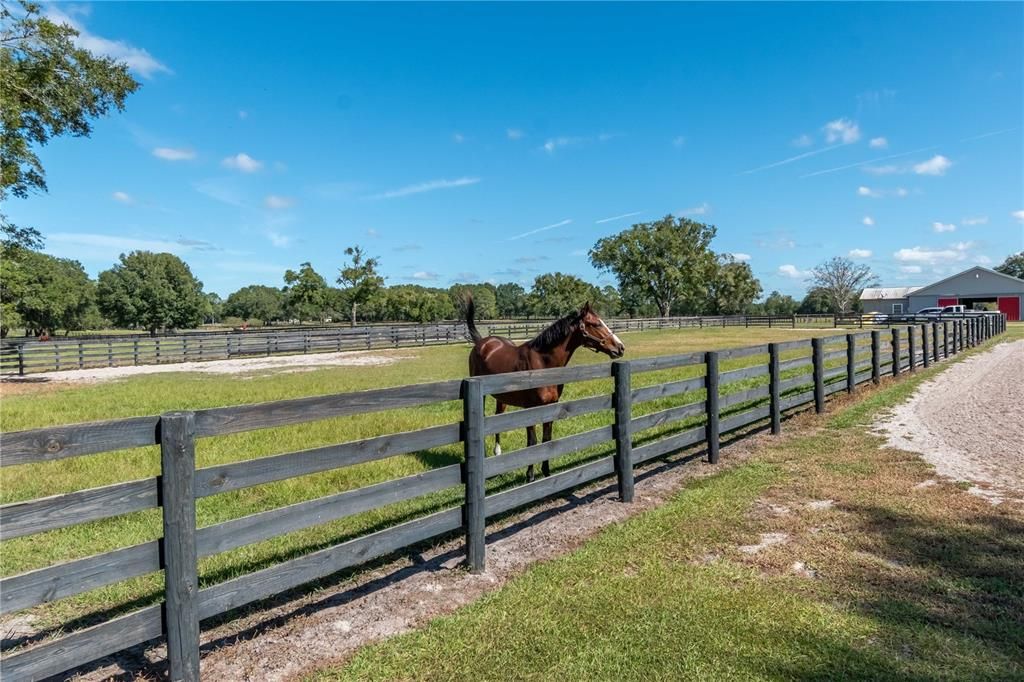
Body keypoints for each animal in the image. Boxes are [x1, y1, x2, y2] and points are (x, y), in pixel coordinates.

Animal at [466, 294, 622, 481]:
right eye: (596, 324)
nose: (620, 347)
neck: (542, 364)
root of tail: (482, 342)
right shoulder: (530, 409)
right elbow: (532, 442)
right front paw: (530, 476)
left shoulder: (550, 406)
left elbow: (546, 439)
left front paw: (546, 473)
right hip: (483, 396)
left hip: (501, 398)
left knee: (498, 419)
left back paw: (497, 455)